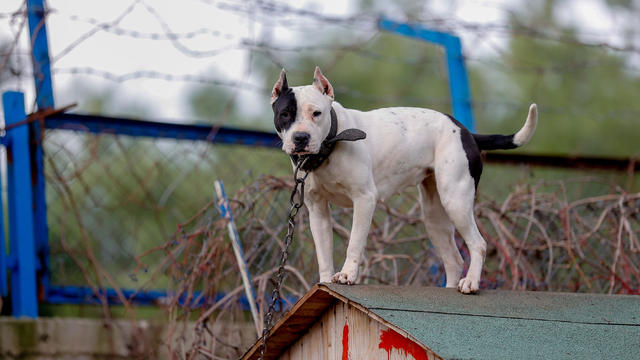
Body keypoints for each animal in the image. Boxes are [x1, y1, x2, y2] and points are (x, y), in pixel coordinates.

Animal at [270, 67, 536, 292]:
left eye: (317, 113)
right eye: (285, 114)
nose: (300, 138)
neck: (331, 142)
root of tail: (464, 131)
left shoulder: (364, 199)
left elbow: (354, 242)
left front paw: (347, 275)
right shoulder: (317, 210)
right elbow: (323, 252)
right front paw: (325, 282)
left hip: (456, 201)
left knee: (478, 244)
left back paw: (470, 282)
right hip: (434, 216)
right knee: (453, 259)